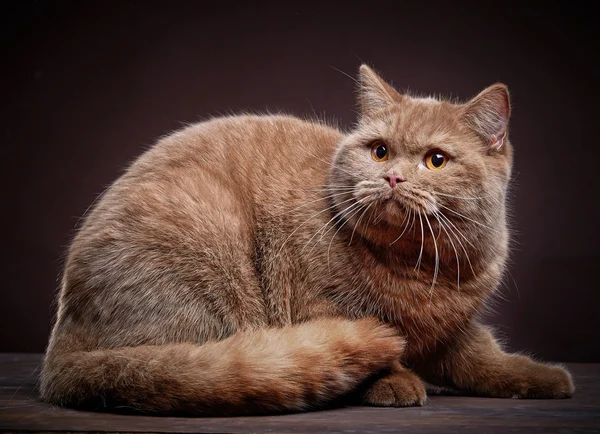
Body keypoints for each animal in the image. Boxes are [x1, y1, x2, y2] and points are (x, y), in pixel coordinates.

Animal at [39, 65, 576, 418]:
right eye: (380, 151)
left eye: (436, 160)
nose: (393, 178)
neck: (419, 272)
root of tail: (61, 351)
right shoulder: (317, 301)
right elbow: (372, 348)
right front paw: (394, 381)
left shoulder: (454, 327)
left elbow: (482, 355)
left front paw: (538, 377)